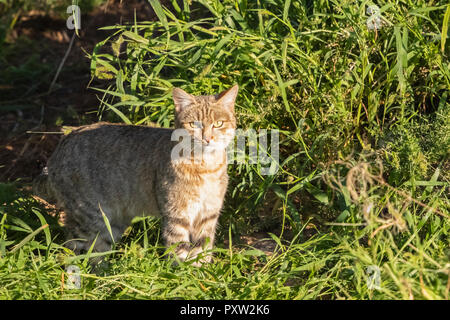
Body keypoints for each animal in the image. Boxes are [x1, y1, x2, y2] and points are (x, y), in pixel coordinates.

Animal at [34, 84, 239, 264]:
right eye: (193, 124)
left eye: (218, 124)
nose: (207, 138)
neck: (205, 167)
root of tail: (57, 151)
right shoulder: (177, 216)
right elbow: (179, 252)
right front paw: (183, 276)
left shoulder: (207, 216)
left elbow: (202, 251)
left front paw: (202, 275)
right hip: (90, 218)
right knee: (72, 247)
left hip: (112, 223)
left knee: (95, 253)